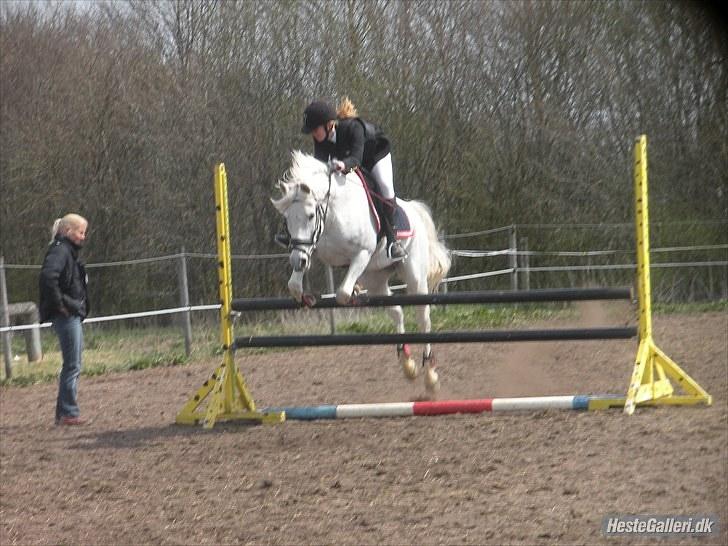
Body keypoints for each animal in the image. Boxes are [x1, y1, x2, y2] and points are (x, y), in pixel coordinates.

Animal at [271, 151, 451, 392]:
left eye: (310, 215)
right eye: (287, 218)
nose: (296, 261)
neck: (332, 212)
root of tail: (414, 209)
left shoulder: (362, 253)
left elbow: (342, 293)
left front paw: (352, 294)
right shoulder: (310, 247)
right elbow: (295, 282)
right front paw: (306, 296)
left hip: (414, 276)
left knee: (423, 317)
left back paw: (430, 374)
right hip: (375, 278)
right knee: (396, 311)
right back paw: (408, 364)